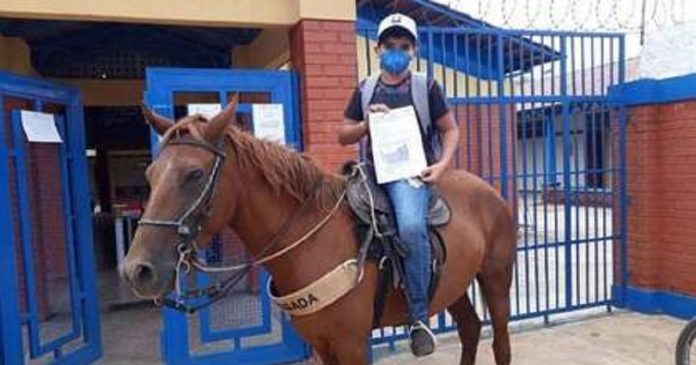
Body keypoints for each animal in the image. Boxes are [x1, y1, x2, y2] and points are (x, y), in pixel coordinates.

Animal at [119, 100, 516, 364]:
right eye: (150, 174)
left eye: (194, 174)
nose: (137, 270)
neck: (309, 240)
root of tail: (490, 192)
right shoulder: (322, 345)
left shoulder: (352, 345)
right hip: (454, 285)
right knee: (469, 329)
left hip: (496, 279)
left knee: (499, 343)